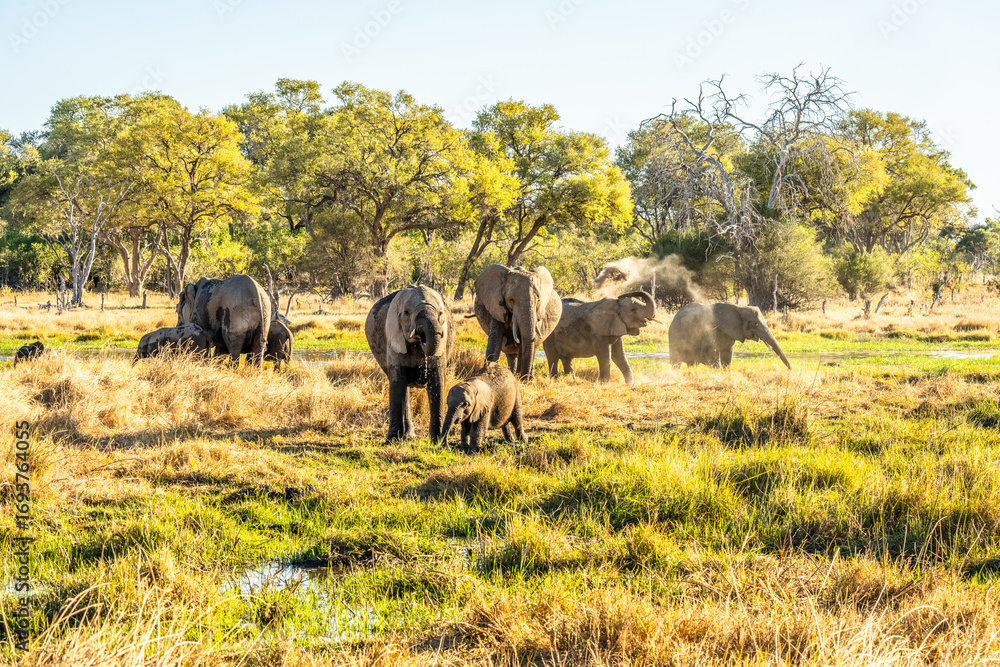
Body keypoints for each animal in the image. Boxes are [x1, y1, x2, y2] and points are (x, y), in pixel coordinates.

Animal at [365, 285, 455, 442]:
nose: (421, 337)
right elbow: (397, 384)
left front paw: (437, 441)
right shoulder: (393, 338)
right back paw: (407, 436)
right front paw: (391, 441)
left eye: (440, 313)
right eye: (407, 313)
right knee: (402, 387)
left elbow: (437, 383)